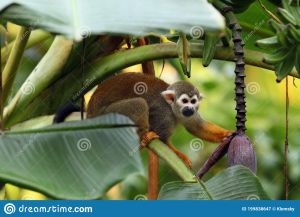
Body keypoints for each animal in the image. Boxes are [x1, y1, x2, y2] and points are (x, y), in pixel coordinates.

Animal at [84, 73, 232, 168]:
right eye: (184, 101)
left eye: (193, 101)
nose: (190, 108)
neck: (172, 108)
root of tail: (89, 113)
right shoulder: (163, 113)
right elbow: (162, 139)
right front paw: (180, 157)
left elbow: (196, 127)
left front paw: (227, 134)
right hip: (106, 115)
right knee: (139, 103)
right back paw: (143, 137)